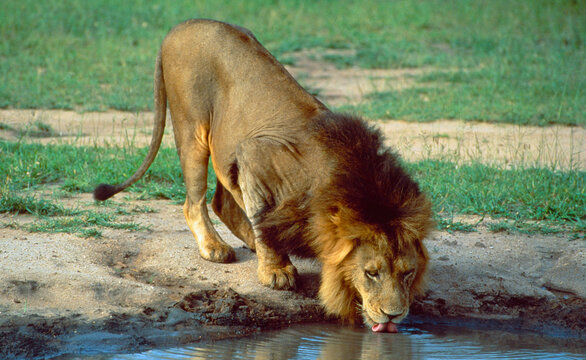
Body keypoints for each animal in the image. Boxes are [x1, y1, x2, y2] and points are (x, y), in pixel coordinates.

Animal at [94, 19, 434, 332]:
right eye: (371, 272)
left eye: (407, 273)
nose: (394, 315)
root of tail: (180, 26)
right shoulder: (253, 156)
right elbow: (261, 219)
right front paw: (277, 271)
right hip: (193, 129)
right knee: (195, 202)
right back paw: (214, 247)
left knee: (222, 202)